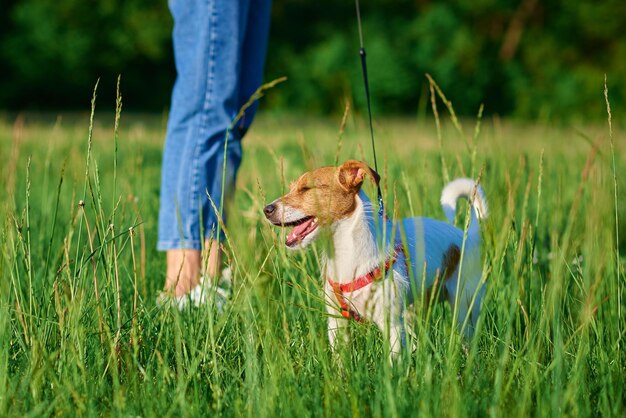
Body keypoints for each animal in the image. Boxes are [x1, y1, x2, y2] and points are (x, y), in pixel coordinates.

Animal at [260, 160, 486, 356]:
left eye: (307, 189)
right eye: (291, 188)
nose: (266, 209)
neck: (346, 254)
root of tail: (467, 237)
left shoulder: (391, 324)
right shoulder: (337, 323)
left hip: (465, 308)